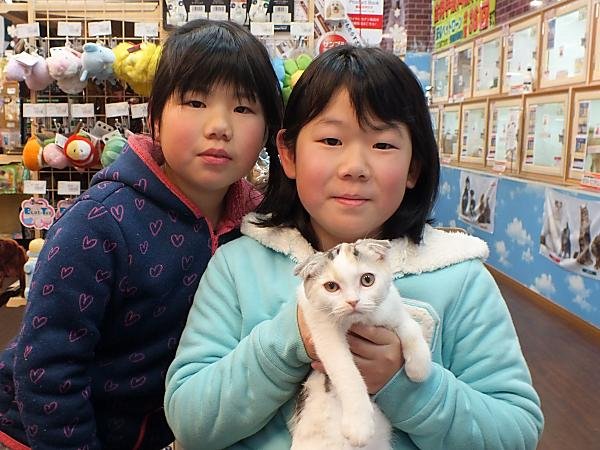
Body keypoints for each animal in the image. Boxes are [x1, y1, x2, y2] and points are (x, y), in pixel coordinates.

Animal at [290, 239, 431, 450]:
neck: (360, 321)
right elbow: (347, 372)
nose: (353, 301)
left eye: (367, 280)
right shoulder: (322, 328)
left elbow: (409, 325)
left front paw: (419, 367)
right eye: (331, 286)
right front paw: (359, 424)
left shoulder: (389, 307)